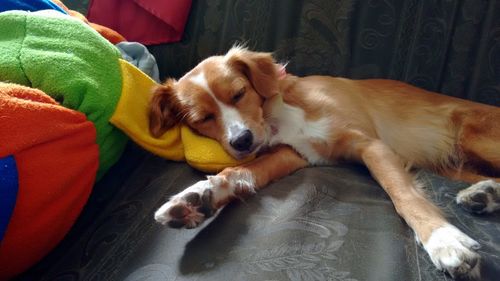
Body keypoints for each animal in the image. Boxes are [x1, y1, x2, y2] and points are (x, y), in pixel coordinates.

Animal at [148, 46, 500, 278]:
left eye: (238, 93)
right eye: (203, 119)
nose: (242, 141)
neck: (279, 112)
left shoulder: (370, 145)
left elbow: (403, 194)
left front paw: (442, 239)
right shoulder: (295, 154)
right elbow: (242, 171)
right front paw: (197, 198)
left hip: (474, 136)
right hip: (457, 164)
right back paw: (485, 195)